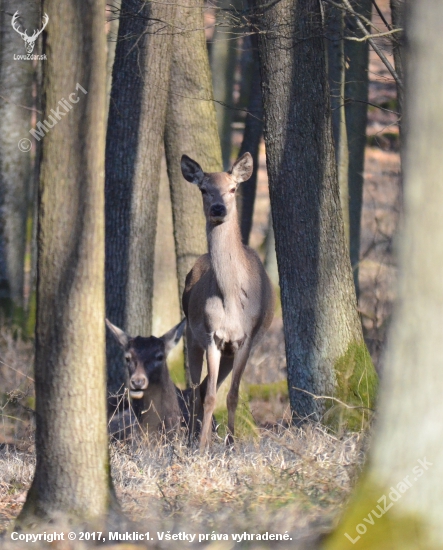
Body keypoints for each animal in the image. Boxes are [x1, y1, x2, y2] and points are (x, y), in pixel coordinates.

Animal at [180, 153, 274, 450]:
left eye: (233, 188)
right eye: (203, 189)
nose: (218, 208)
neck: (232, 299)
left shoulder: (247, 338)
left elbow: (232, 395)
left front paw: (231, 445)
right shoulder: (212, 335)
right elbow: (211, 396)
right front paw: (201, 447)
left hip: (231, 351)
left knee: (203, 387)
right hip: (191, 334)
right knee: (195, 388)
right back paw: (191, 436)